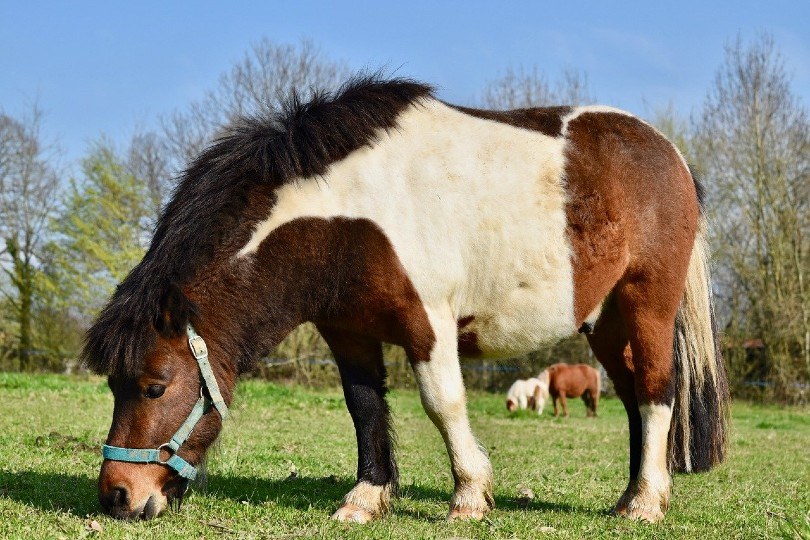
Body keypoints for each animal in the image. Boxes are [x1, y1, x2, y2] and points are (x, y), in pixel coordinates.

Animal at [85, 75, 728, 524]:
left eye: (155, 387)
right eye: (114, 385)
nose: (118, 495)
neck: (348, 215)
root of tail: (669, 155)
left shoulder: (429, 323)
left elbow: (443, 404)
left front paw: (469, 498)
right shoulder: (348, 332)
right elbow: (364, 407)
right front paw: (366, 500)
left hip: (646, 307)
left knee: (656, 391)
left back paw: (645, 503)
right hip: (605, 323)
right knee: (633, 400)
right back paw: (630, 497)